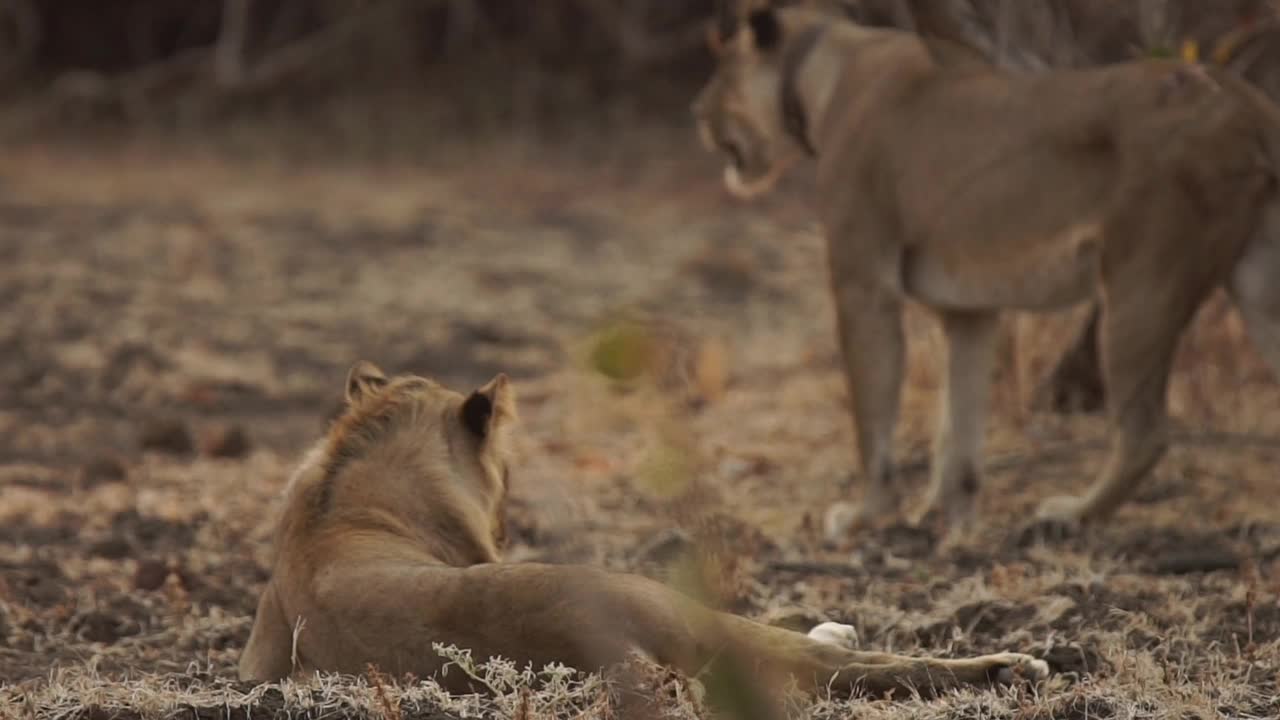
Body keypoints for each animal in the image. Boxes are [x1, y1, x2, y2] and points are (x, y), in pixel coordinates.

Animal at [701, 0, 1280, 543]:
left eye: (721, 69)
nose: (694, 111)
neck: (823, 70)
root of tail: (1246, 102)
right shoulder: (968, 311)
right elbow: (956, 421)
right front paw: (942, 514)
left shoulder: (863, 283)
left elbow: (873, 416)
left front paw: (866, 515)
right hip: (1256, 283)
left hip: (1143, 282)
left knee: (1146, 433)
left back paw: (1071, 514)